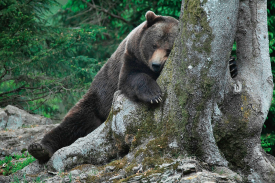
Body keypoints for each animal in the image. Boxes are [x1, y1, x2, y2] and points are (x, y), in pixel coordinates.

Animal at [27, 11, 179, 163]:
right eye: (154, 45)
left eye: (168, 49)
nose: (155, 64)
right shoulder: (132, 55)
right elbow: (130, 77)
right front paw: (154, 95)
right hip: (96, 100)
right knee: (73, 124)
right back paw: (39, 148)